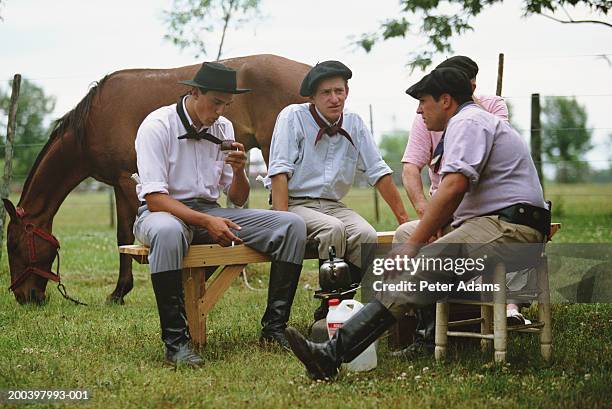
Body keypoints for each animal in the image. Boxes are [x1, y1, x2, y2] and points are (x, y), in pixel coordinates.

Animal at [3, 53, 310, 302]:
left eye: (14, 246)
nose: (25, 297)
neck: (93, 122)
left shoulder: (127, 181)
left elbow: (127, 232)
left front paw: (119, 292)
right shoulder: (121, 183)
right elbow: (125, 234)